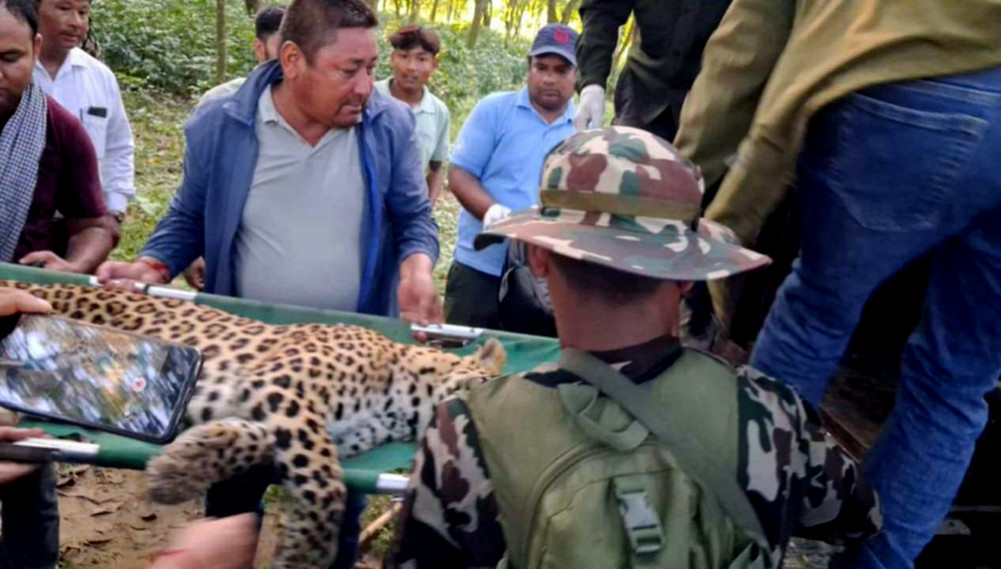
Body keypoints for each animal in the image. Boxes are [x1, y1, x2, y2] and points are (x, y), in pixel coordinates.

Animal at [0, 281, 506, 568]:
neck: (403, 404)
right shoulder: (287, 388)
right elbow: (328, 484)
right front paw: (304, 553)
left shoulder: (280, 412)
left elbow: (247, 441)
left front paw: (179, 467)